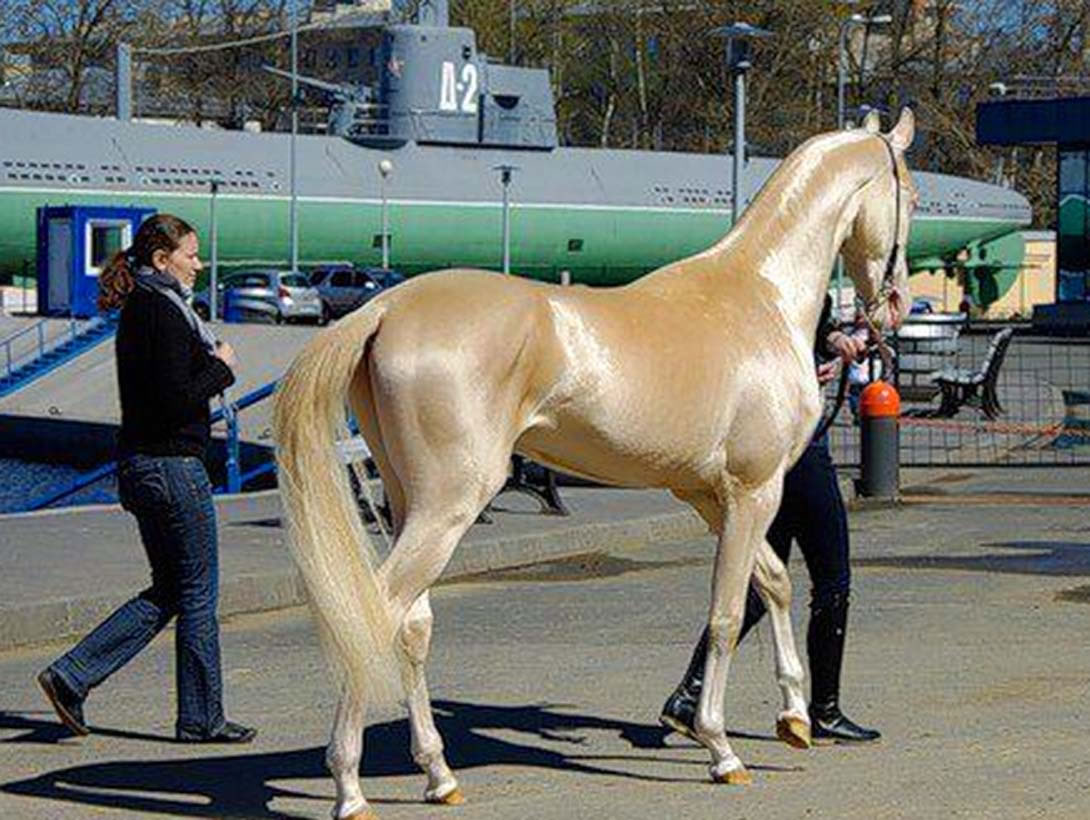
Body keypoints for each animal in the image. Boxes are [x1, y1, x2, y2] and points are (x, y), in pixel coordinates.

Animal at [273, 108, 917, 819]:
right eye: (912, 197)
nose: (896, 304)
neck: (759, 298)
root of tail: (385, 306)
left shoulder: (711, 497)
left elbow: (771, 585)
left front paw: (795, 716)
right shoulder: (753, 491)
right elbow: (725, 614)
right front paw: (722, 750)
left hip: (409, 503)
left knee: (412, 626)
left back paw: (439, 775)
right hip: (448, 507)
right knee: (373, 615)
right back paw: (349, 789)